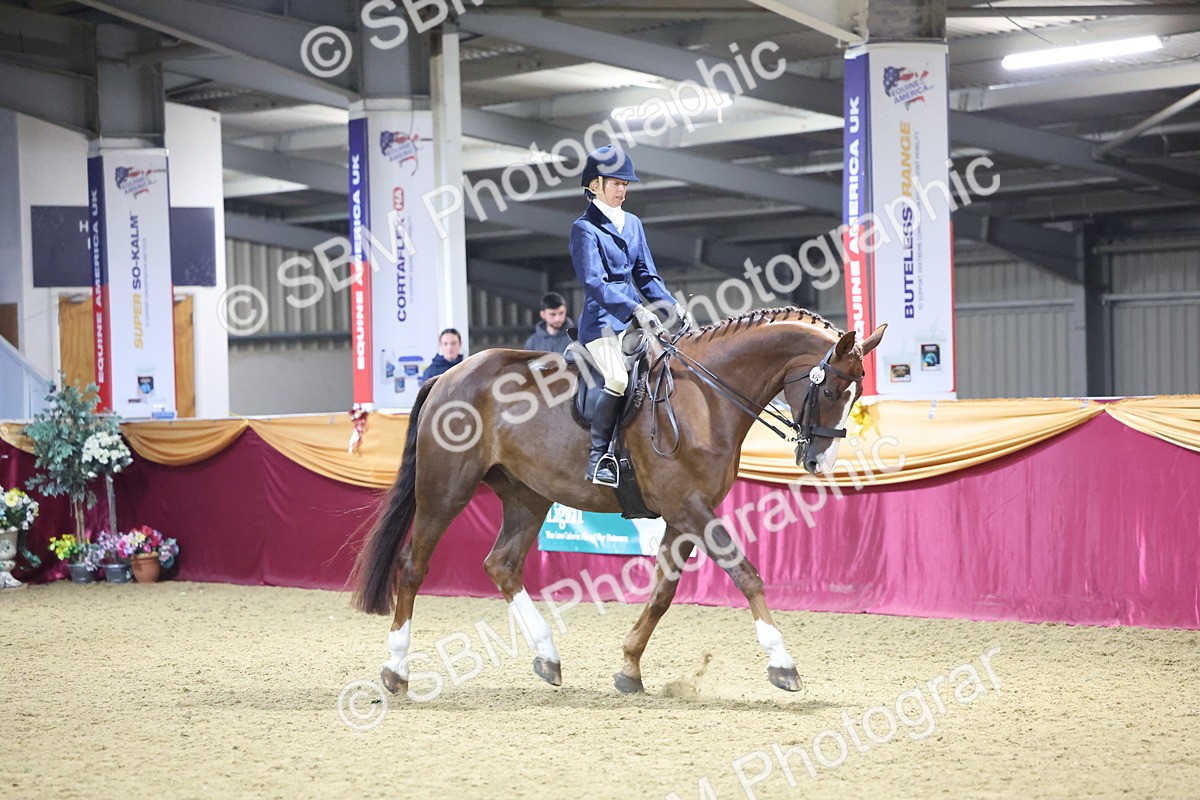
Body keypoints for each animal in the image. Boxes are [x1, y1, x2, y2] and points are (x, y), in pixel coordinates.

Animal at [352, 307, 886, 696]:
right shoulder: (689, 507)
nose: (818, 461)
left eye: (856, 395)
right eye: (832, 389)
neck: (706, 397)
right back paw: (396, 669)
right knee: (413, 566)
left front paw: (630, 668)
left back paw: (547, 656)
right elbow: (746, 573)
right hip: (446, 489)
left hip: (527, 496)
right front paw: (782, 662)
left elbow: (663, 592)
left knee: (501, 563)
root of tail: (448, 376)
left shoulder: (682, 515)